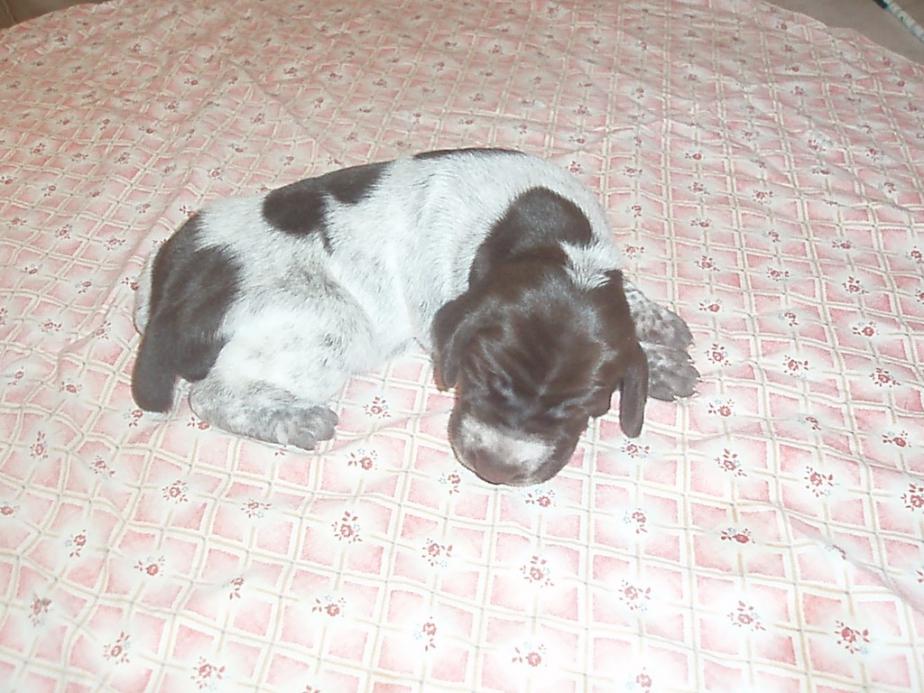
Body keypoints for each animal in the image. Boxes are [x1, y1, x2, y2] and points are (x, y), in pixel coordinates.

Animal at [131, 148, 698, 486]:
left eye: (581, 407)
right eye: (483, 375)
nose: (495, 468)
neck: (553, 242)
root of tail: (176, 290)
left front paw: (656, 335)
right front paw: (659, 361)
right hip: (334, 322)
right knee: (212, 394)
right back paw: (292, 417)